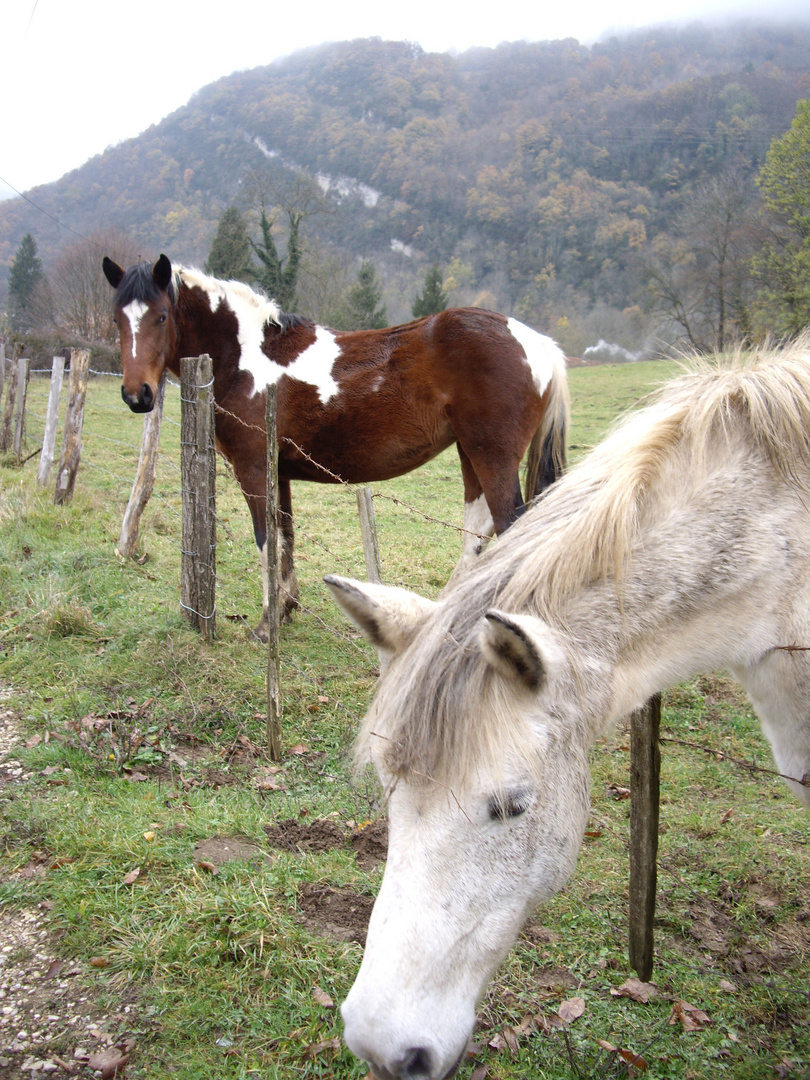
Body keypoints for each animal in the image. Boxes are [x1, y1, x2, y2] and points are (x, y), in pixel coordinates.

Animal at [103, 255, 570, 635]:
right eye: (117, 320)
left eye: (162, 316)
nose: (137, 395)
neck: (247, 358)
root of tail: (538, 343)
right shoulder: (278, 472)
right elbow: (285, 533)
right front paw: (287, 607)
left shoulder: (253, 467)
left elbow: (265, 538)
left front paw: (267, 625)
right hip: (470, 452)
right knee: (478, 525)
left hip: (490, 455)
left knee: (506, 526)